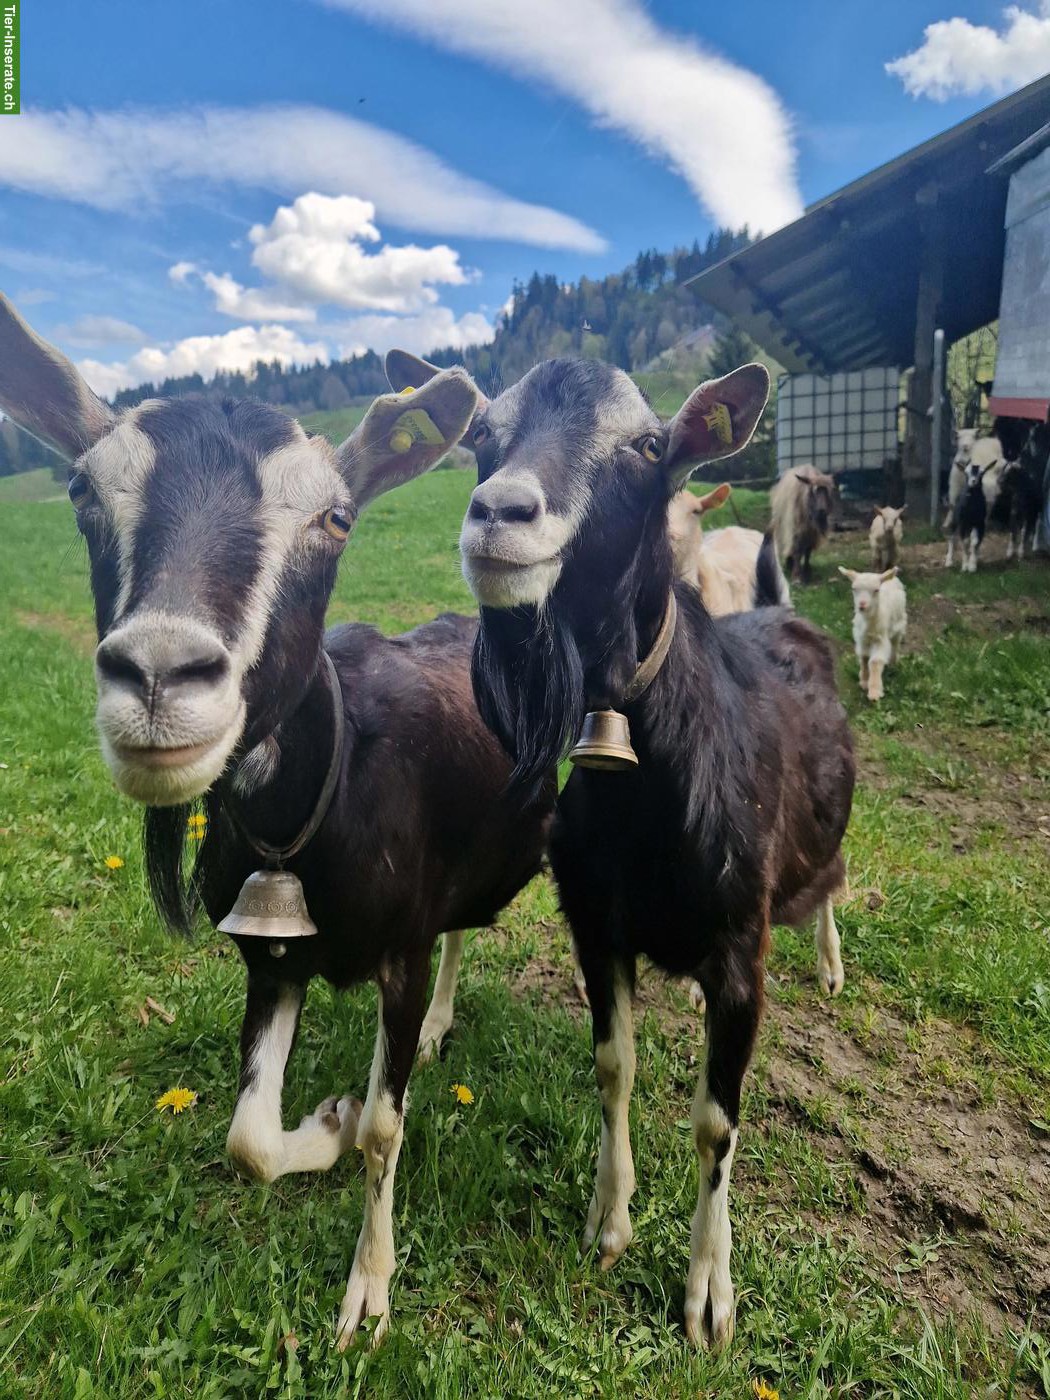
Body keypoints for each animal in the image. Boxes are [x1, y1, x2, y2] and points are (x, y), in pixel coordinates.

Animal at [0, 295, 554, 1349]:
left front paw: (367, 1294)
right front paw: (321, 1127)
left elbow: (386, 1125)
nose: (160, 676)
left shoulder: (398, 953)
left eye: (336, 517)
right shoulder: (271, 957)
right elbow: (248, 1139)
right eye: (83, 492)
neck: (314, 813)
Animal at [388, 351, 855, 1347]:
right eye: (485, 434)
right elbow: (615, 1067)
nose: (500, 513)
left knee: (832, 882)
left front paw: (710, 1292)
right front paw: (610, 1219)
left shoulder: (740, 947)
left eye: (647, 446)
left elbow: (717, 1122)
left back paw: (833, 963)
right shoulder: (598, 928)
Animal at [838, 567, 907, 702]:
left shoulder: (880, 639)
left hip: (900, 623)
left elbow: (875, 662)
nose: (862, 604)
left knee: (896, 643)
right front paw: (864, 681)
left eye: (876, 590)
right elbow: (864, 658)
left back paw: (894, 662)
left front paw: (875, 691)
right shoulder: (861, 639)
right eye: (854, 589)